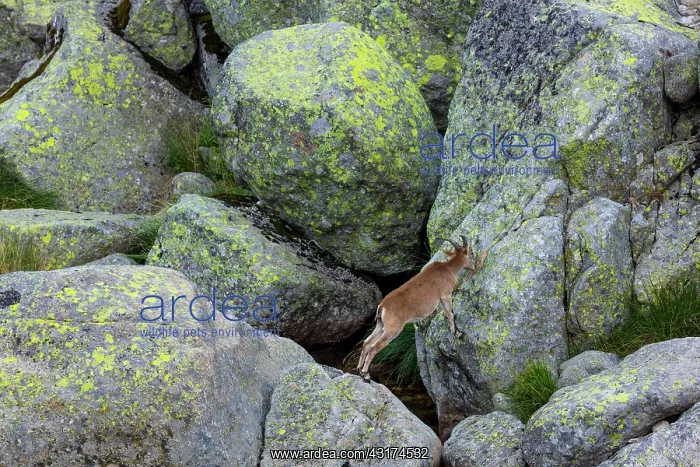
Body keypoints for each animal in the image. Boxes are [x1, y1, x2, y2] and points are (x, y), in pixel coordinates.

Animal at [358, 235, 488, 382]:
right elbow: (450, 313)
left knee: (366, 343)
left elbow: (446, 313)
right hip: (392, 329)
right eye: (471, 253)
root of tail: (382, 307)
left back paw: (360, 370)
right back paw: (366, 374)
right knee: (373, 347)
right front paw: (456, 332)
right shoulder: (445, 295)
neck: (448, 269)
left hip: (381, 325)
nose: (475, 265)